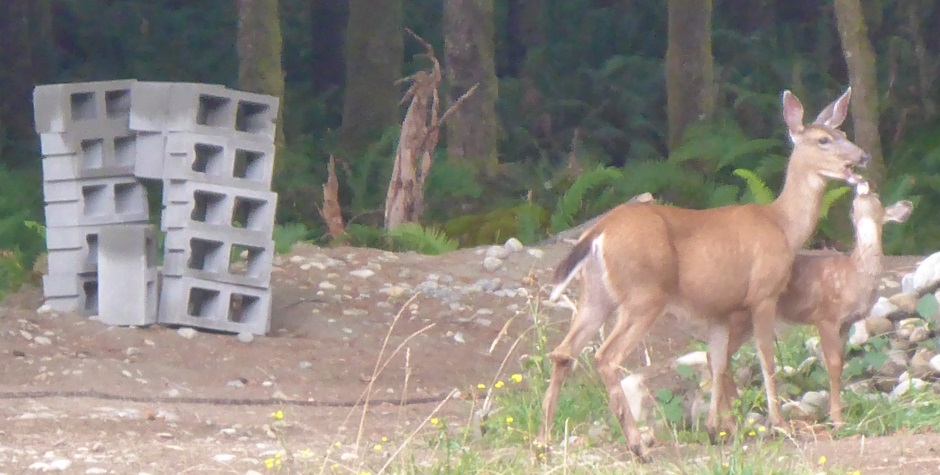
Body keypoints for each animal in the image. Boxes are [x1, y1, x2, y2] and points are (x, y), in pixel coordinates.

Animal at [540, 88, 872, 462]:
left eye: (843, 134)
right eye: (823, 140)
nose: (863, 156)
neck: (783, 226)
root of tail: (599, 231)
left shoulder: (721, 309)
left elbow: (717, 362)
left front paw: (719, 429)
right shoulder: (763, 293)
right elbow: (765, 359)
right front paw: (777, 424)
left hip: (596, 293)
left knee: (563, 352)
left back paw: (544, 443)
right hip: (644, 294)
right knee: (605, 357)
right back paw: (638, 446)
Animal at [720, 180, 912, 426]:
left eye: (877, 198)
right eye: (852, 208)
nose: (863, 184)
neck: (854, 275)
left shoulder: (846, 323)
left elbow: (841, 363)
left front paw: (838, 414)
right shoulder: (826, 317)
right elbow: (833, 364)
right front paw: (837, 419)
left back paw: (737, 412)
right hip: (741, 316)